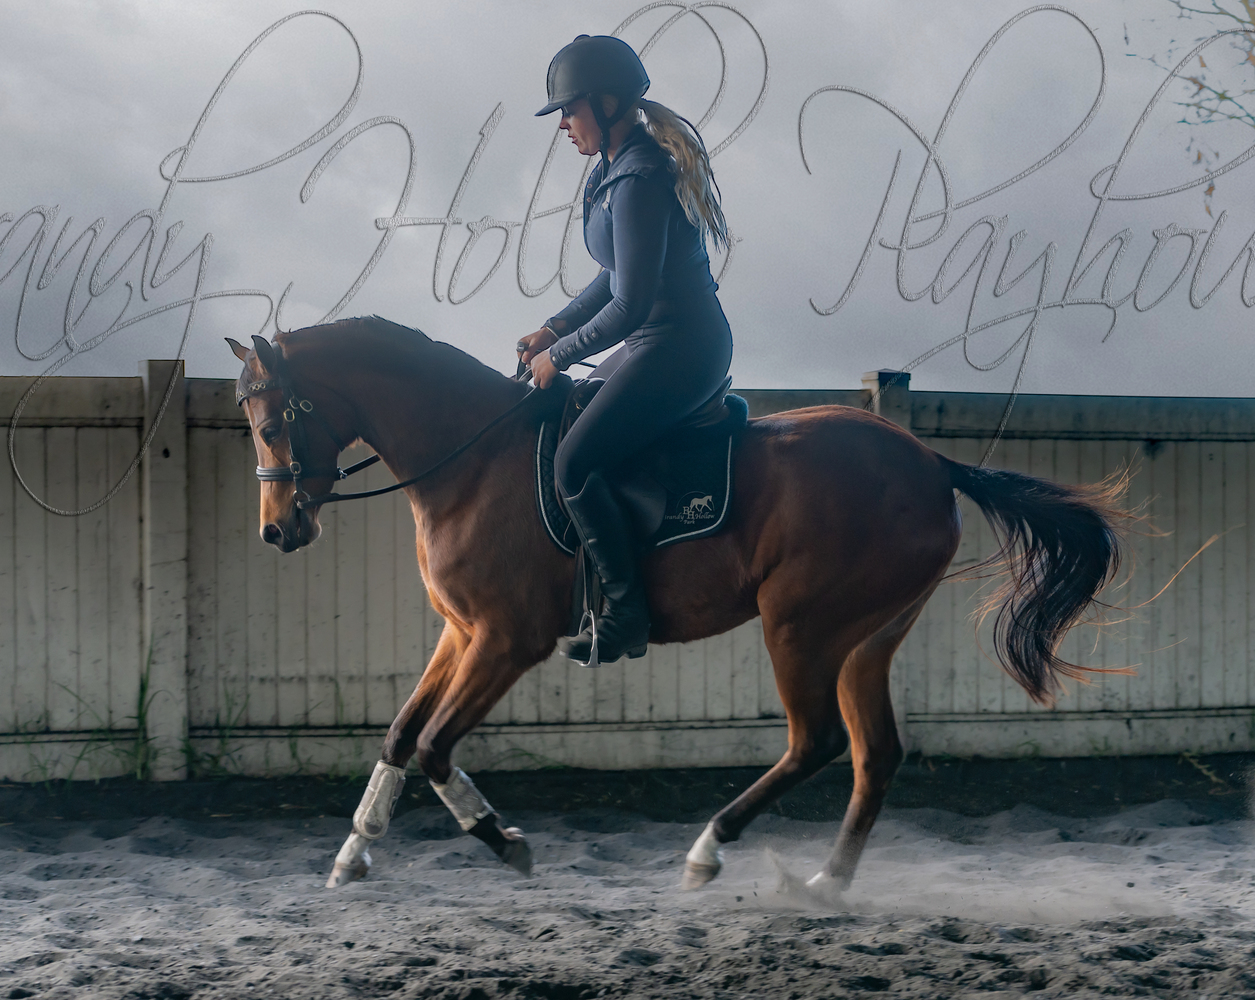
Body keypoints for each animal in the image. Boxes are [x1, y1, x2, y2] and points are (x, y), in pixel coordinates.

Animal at [227, 315, 1127, 894]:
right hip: (866, 639)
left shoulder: (506, 641)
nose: (275, 531)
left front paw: (506, 844)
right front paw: (355, 852)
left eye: (273, 424)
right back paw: (824, 884)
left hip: (801, 627)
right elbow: (399, 735)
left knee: (816, 743)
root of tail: (932, 465)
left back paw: (709, 852)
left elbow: (435, 747)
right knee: (874, 755)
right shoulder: (462, 633)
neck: (473, 460)